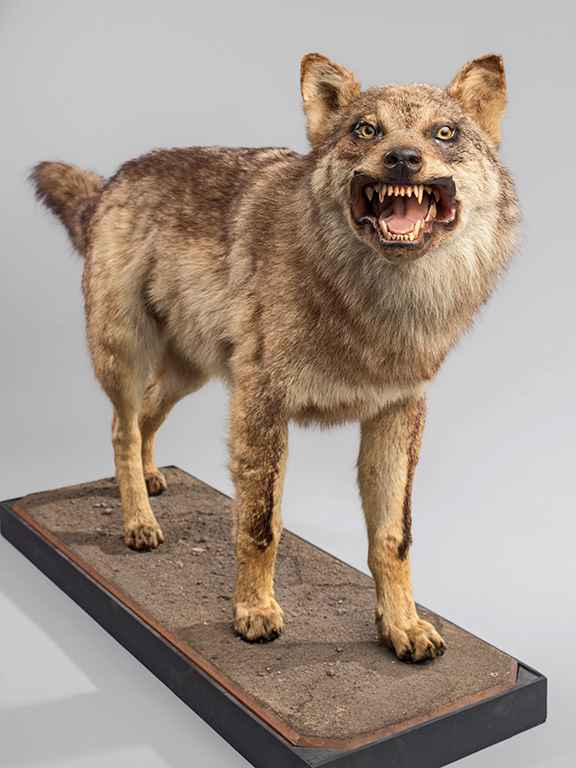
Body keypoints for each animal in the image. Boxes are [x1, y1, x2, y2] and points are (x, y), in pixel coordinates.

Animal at [30, 53, 520, 663]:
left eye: (444, 134)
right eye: (367, 130)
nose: (403, 159)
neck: (375, 302)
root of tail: (110, 182)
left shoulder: (397, 413)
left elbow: (394, 538)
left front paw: (403, 626)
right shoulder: (260, 404)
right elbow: (260, 524)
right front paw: (254, 612)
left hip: (191, 373)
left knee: (145, 418)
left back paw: (150, 478)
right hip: (126, 353)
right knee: (122, 428)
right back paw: (139, 521)